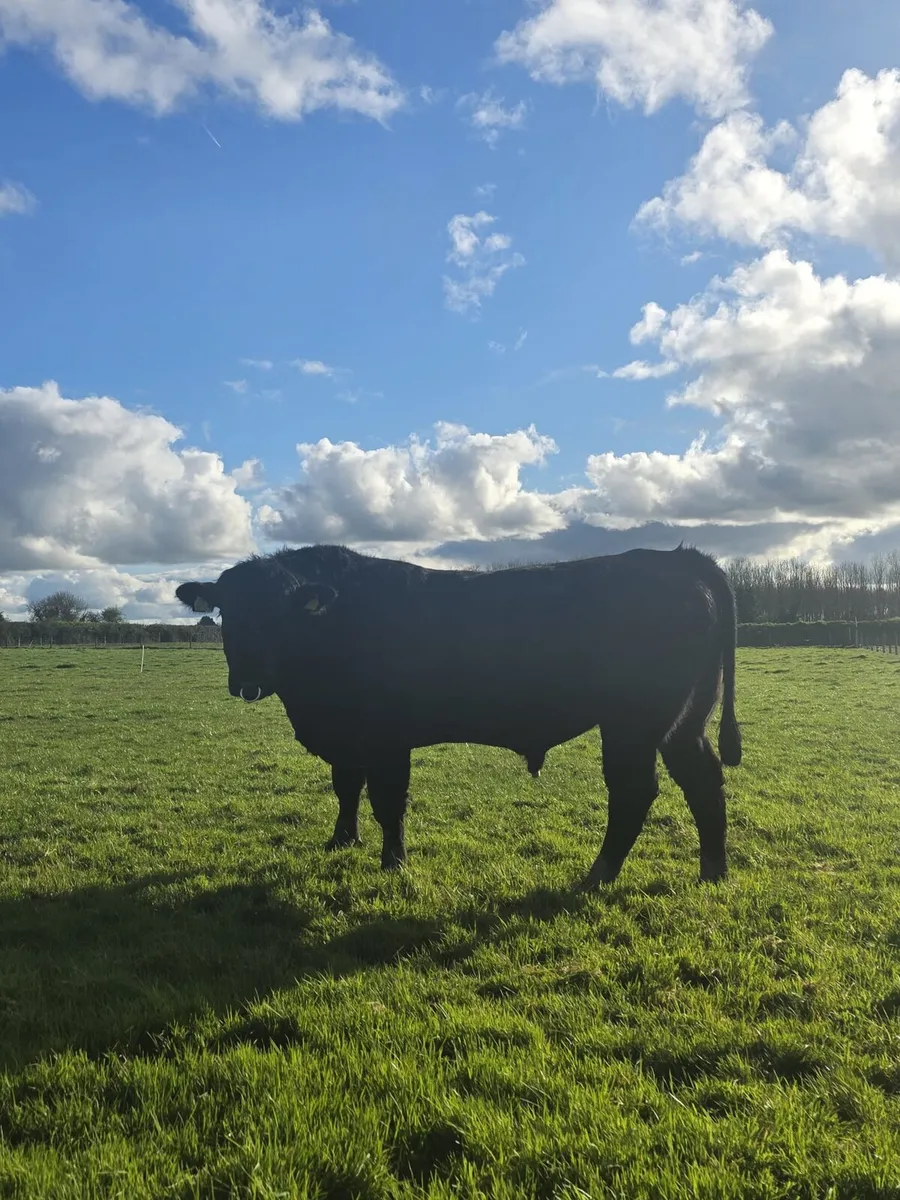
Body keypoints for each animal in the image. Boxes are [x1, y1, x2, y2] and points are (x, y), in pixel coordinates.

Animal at [175, 543, 742, 886]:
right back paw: (712, 871)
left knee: (633, 792)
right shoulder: (346, 736)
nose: (247, 679)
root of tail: (675, 559)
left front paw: (393, 863)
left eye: (281, 613)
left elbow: (387, 802)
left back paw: (597, 876)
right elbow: (345, 788)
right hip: (685, 720)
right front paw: (341, 841)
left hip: (633, 723)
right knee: (703, 779)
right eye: (227, 609)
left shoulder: (386, 739)